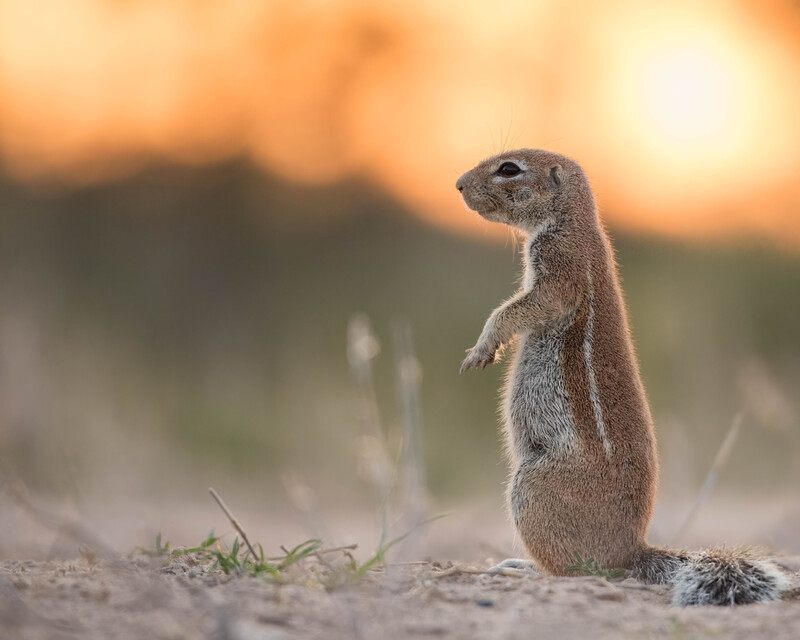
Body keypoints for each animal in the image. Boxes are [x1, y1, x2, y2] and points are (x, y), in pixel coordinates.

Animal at [456, 149, 792, 604]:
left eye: (509, 169)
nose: (457, 184)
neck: (571, 221)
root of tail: (632, 550)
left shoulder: (560, 267)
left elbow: (520, 308)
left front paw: (482, 347)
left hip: (530, 488)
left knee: (575, 570)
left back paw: (521, 569)